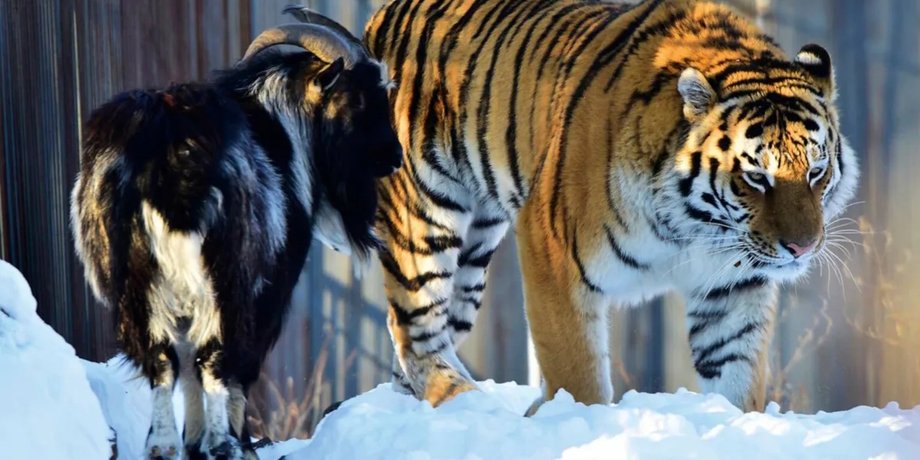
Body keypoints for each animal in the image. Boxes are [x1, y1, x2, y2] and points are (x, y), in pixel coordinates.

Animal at [359, 0, 859, 412]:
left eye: (816, 171)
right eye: (756, 176)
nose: (802, 248)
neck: (696, 227)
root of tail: (380, 15)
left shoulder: (732, 287)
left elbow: (737, 378)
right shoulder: (551, 250)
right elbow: (578, 376)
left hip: (474, 248)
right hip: (424, 213)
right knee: (412, 328)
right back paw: (468, 402)